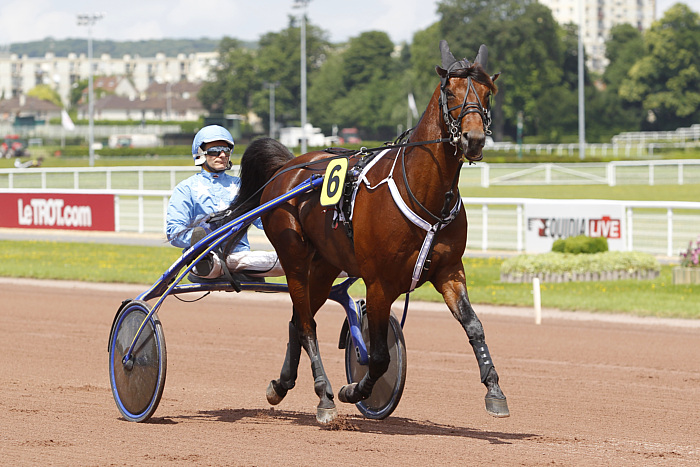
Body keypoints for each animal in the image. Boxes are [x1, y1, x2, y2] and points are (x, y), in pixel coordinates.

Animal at [221, 40, 506, 424]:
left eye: (488, 92)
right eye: (450, 91)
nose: (473, 139)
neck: (423, 193)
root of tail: (288, 166)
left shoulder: (449, 270)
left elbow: (474, 325)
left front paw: (494, 390)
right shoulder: (379, 283)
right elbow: (380, 355)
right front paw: (354, 390)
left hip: (323, 265)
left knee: (298, 319)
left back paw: (281, 385)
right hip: (293, 256)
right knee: (306, 323)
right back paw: (324, 394)